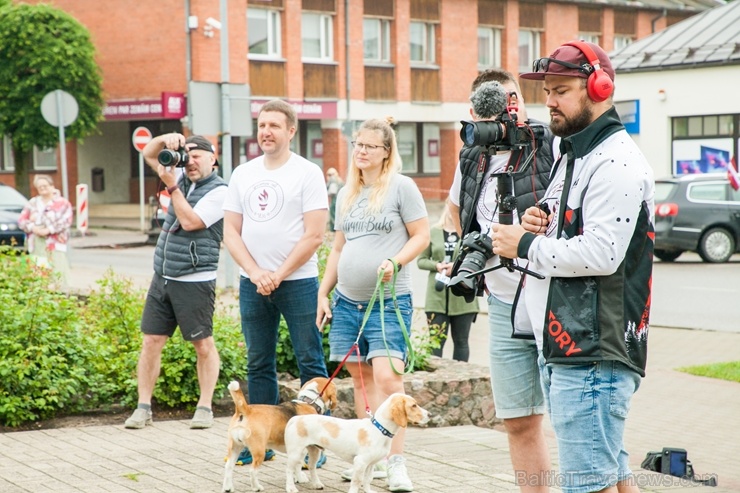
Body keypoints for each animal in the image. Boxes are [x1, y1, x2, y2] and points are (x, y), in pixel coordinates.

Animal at [286, 392, 430, 492]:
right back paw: (291, 488)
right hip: (295, 454)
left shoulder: (371, 464)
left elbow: (367, 479)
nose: (430, 414)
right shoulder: (360, 462)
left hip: (314, 451)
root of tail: (295, 419)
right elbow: (357, 481)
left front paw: (368, 491)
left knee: (311, 467)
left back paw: (316, 484)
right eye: (414, 405)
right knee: (288, 471)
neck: (379, 429)